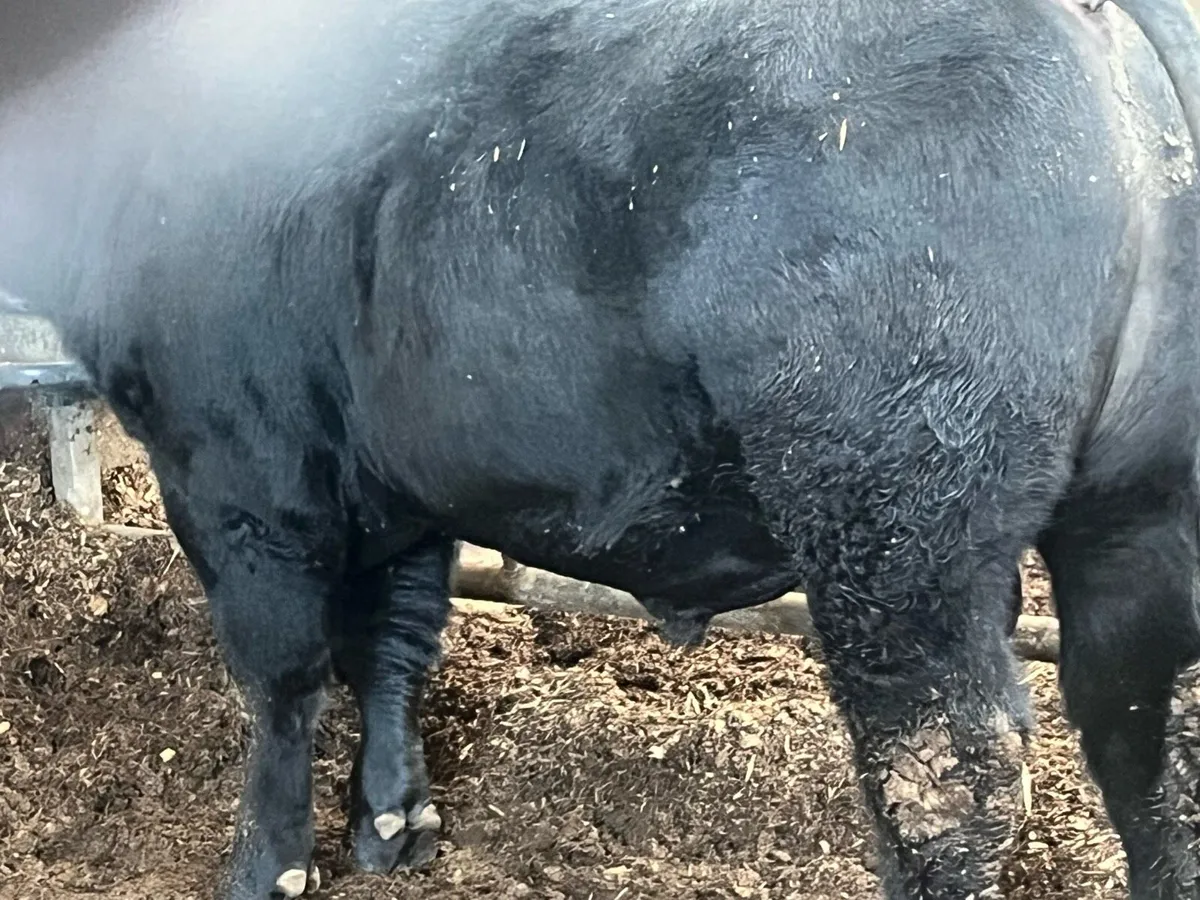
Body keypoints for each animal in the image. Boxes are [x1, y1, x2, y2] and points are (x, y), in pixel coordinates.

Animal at [2, 0, 1199, 897]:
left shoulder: (236, 468)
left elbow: (284, 673)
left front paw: (268, 867)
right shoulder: (398, 478)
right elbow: (393, 639)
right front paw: (393, 826)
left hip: (898, 518)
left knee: (949, 780)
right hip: (1141, 512)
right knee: (1152, 737)